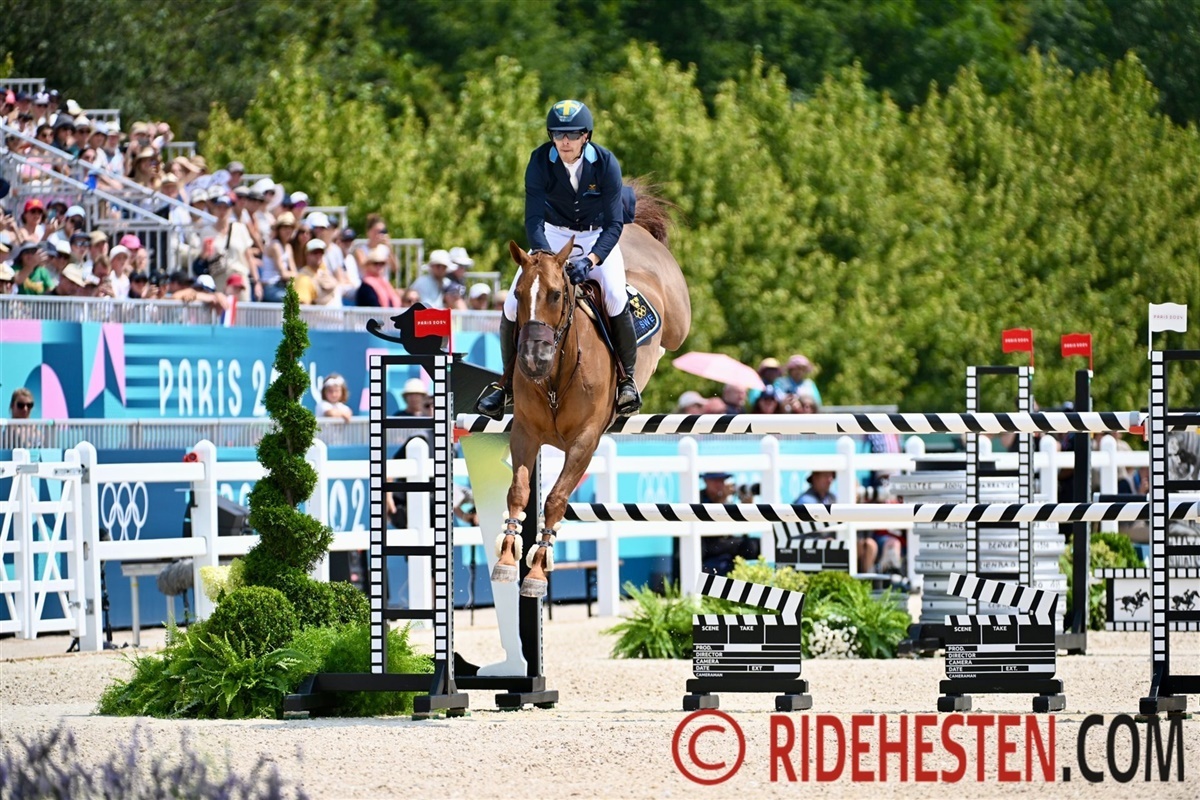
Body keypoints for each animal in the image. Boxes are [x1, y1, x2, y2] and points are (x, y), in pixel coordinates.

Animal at [490, 188, 691, 597]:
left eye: (555, 295)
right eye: (517, 294)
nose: (532, 361)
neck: (556, 376)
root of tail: (635, 230)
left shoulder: (585, 441)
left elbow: (555, 499)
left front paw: (537, 572)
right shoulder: (525, 433)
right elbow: (518, 492)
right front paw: (506, 559)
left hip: (679, 318)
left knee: (673, 334)